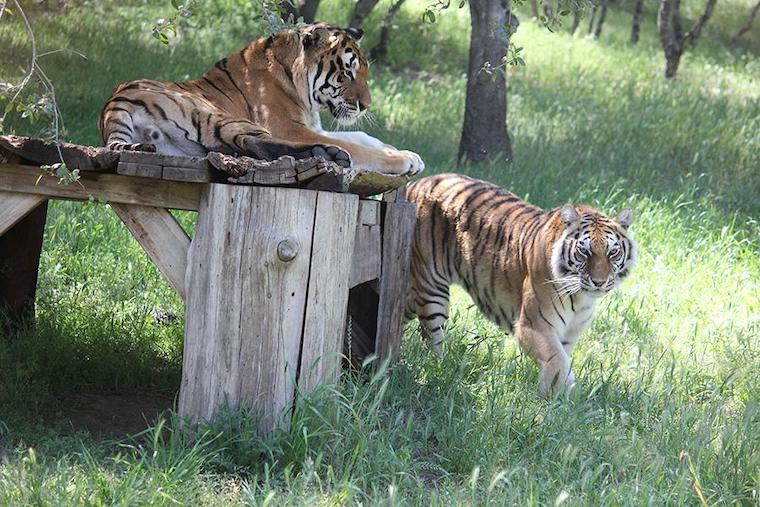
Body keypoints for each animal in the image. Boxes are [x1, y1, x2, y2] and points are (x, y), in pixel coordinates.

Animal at [98, 23, 424, 176]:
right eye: (346, 73)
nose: (366, 105)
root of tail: (115, 102)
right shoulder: (292, 129)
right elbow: (358, 147)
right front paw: (404, 159)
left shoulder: (313, 126)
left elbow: (362, 136)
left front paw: (401, 150)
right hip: (217, 114)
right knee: (254, 142)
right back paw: (330, 155)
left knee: (242, 147)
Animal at [405, 174, 637, 395]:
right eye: (584, 251)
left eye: (612, 252)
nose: (599, 282)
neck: (581, 298)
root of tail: (417, 183)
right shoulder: (533, 325)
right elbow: (557, 361)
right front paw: (561, 395)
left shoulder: (568, 336)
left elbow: (561, 361)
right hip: (432, 290)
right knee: (431, 339)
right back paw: (438, 370)